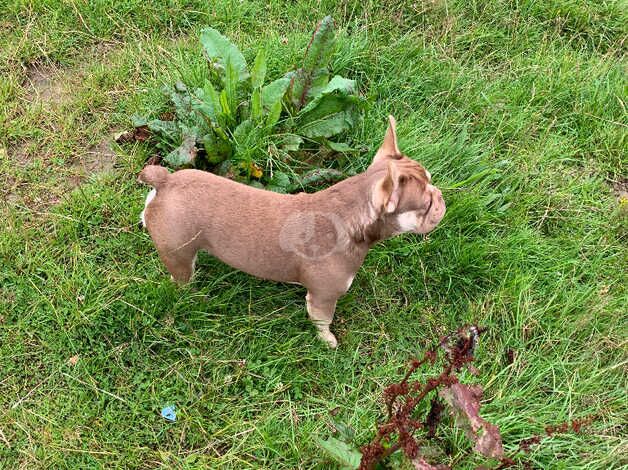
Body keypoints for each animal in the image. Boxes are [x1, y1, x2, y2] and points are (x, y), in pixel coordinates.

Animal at [141, 115, 446, 346]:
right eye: (426, 204)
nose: (441, 196)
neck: (352, 213)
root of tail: (166, 181)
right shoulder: (324, 296)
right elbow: (323, 320)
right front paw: (327, 341)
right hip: (178, 254)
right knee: (181, 278)